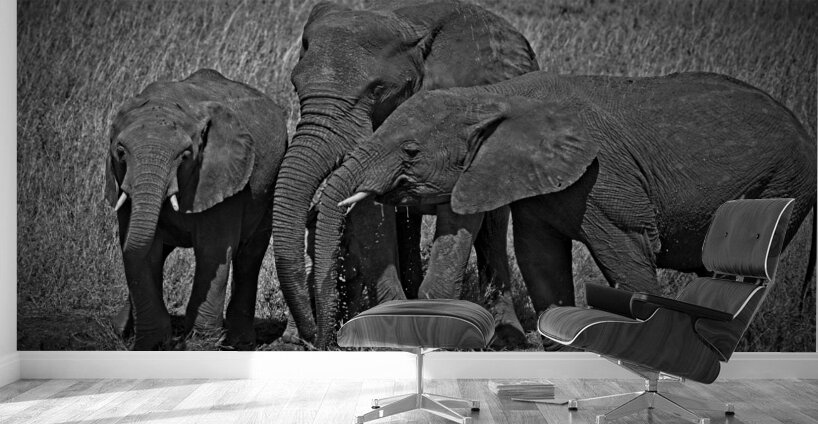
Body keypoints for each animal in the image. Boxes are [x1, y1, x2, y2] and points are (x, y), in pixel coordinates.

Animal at [105, 69, 288, 350]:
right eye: (121, 152)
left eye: (185, 156)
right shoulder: (121, 179)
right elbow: (144, 250)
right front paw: (152, 343)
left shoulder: (223, 179)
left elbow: (213, 251)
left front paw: (200, 344)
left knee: (249, 256)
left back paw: (240, 343)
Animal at [273, 0, 539, 348]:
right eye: (295, 86)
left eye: (376, 90)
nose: (313, 340)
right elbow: (371, 213)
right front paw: (389, 332)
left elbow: (459, 214)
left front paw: (440, 331)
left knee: (494, 225)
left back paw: (508, 339)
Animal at [328, 70, 817, 328]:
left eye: (411, 151)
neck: (495, 95)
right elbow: (540, 261)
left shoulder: (604, 178)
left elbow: (629, 256)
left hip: (783, 186)